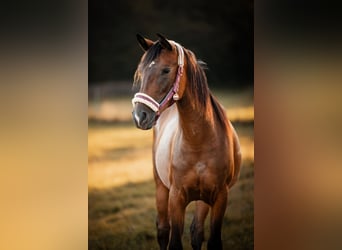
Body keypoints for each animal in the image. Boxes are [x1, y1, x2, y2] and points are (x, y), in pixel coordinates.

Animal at [130, 33, 240, 250]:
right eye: (141, 72)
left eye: (165, 70)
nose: (140, 116)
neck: (200, 140)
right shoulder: (176, 197)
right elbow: (174, 241)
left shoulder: (220, 197)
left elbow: (212, 240)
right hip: (161, 188)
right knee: (163, 229)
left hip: (203, 199)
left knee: (196, 231)